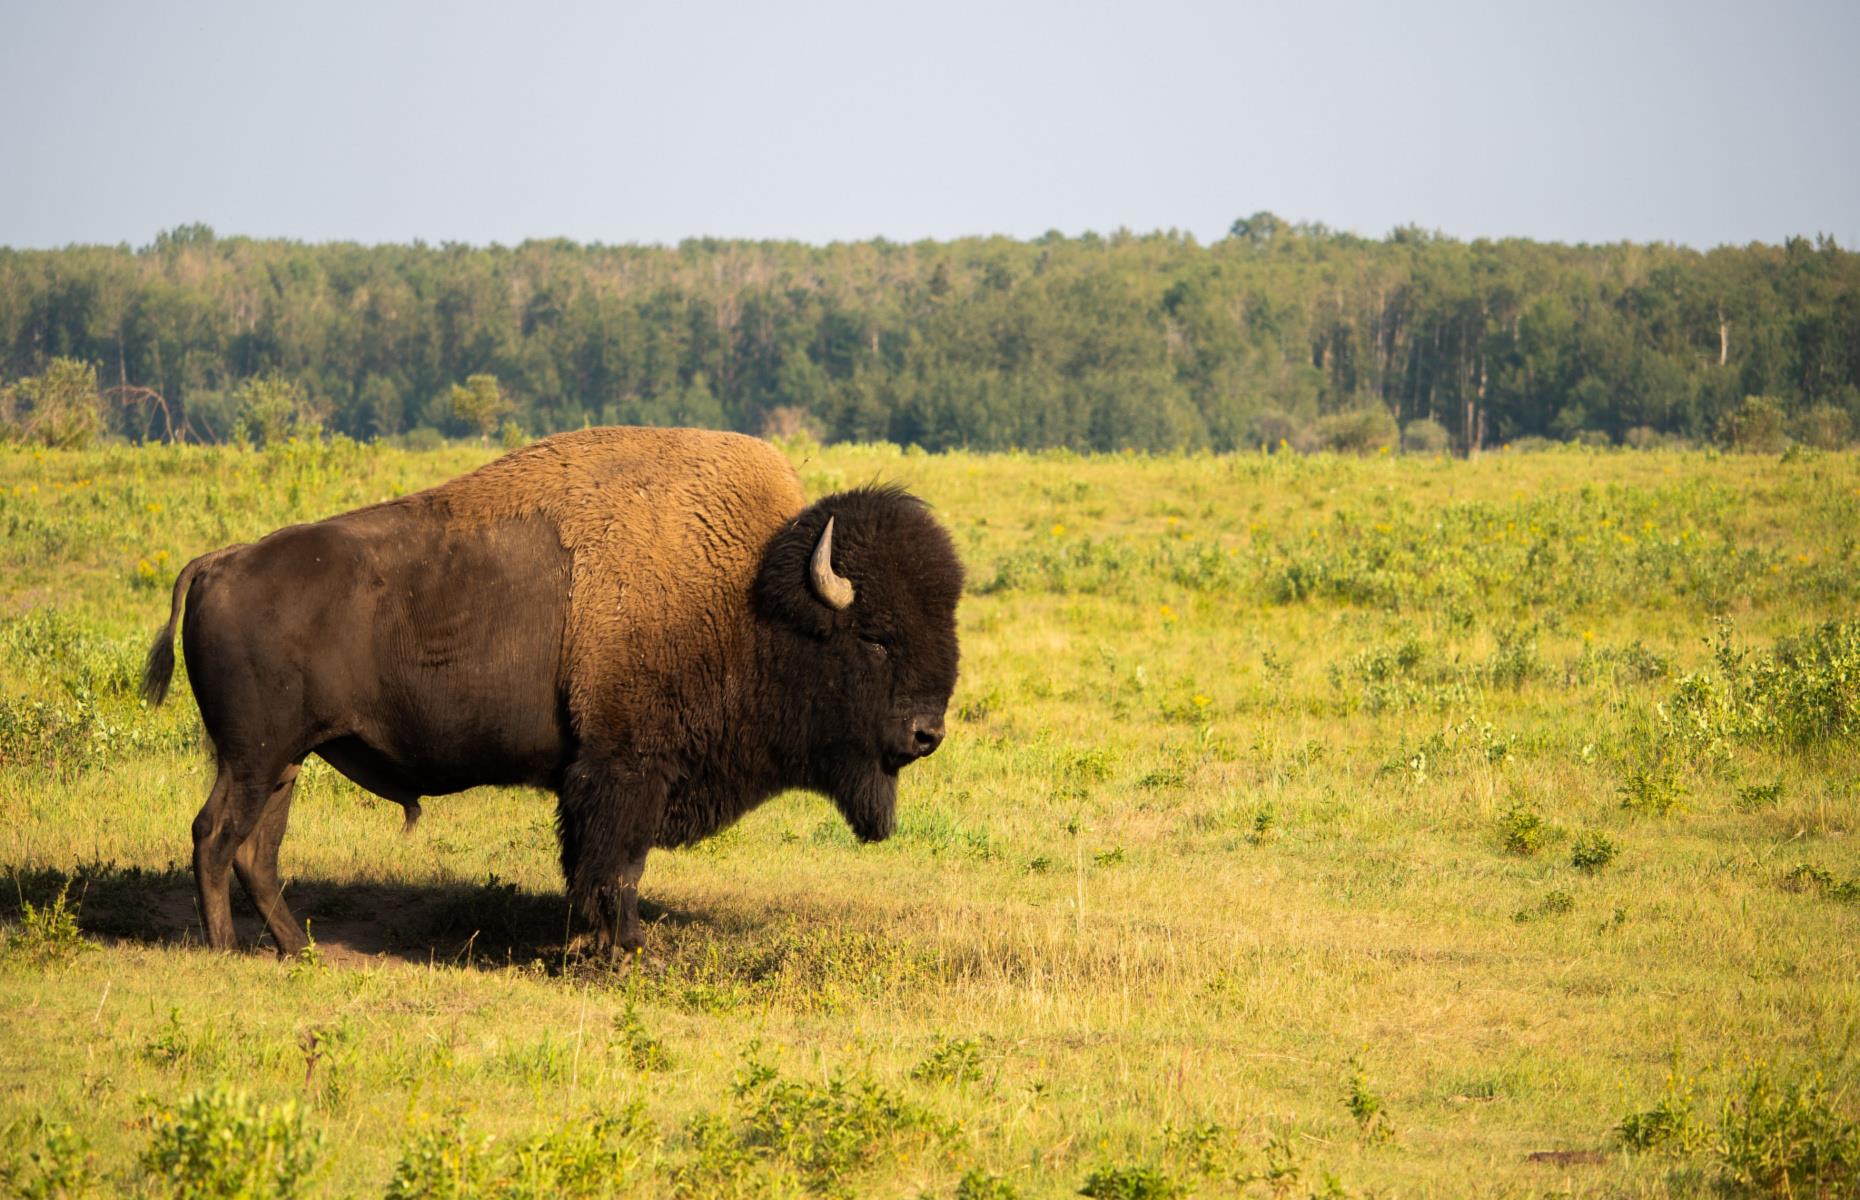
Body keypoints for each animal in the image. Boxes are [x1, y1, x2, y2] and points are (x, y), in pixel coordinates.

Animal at [141, 426, 959, 960]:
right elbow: (615, 865)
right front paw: (624, 948)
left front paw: (591, 943)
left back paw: (295, 949)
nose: (928, 733)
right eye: (875, 637)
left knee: (257, 851)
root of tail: (219, 562)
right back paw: (223, 951)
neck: (748, 596)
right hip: (253, 758)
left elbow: (591, 864)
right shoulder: (626, 769)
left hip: (286, 761)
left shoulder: (597, 777)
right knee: (216, 837)